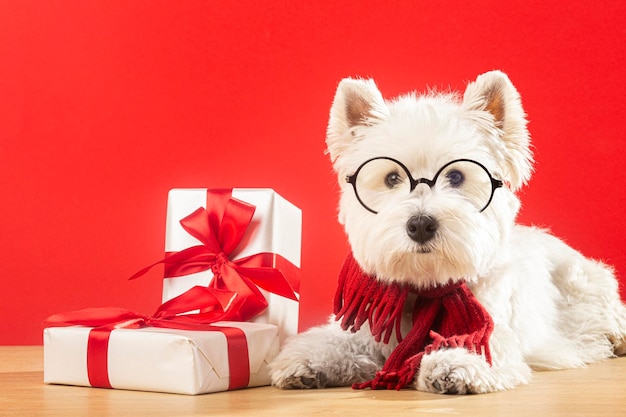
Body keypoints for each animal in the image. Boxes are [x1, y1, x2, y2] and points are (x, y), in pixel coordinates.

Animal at [270, 71, 624, 394]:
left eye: (456, 176)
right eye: (391, 178)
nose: (420, 225)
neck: (426, 286)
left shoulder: (496, 331)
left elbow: (479, 341)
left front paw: (455, 364)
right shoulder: (366, 327)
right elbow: (337, 341)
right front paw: (306, 361)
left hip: (587, 284)